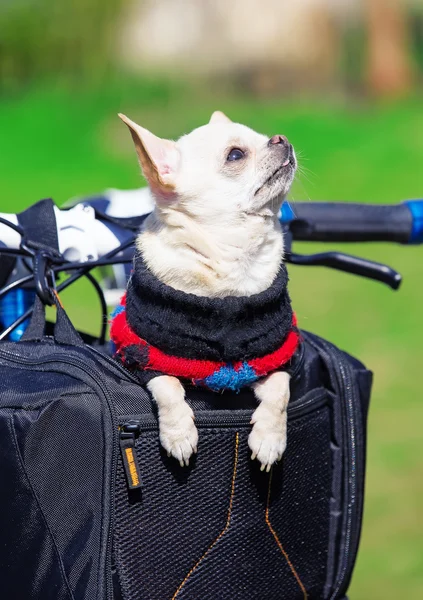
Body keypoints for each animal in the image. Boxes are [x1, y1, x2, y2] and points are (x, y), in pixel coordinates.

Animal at [112, 110, 298, 472]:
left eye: (263, 136)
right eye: (235, 155)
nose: (282, 138)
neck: (233, 258)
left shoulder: (273, 358)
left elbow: (280, 393)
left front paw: (270, 439)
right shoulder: (146, 354)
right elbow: (168, 387)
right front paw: (179, 434)